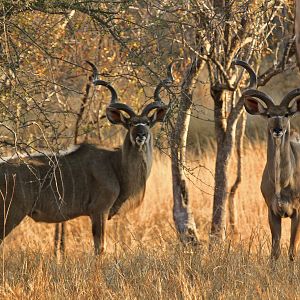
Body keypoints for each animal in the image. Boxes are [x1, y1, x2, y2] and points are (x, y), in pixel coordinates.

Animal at [0, 61, 173, 255]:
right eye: (130, 124)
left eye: (148, 123)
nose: (141, 135)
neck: (117, 164)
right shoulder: (99, 210)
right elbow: (100, 248)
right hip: (10, 213)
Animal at [238, 59, 300, 260]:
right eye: (269, 114)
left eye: (286, 114)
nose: (278, 129)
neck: (282, 181)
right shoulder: (272, 212)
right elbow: (275, 252)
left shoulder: (297, 212)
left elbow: (292, 252)